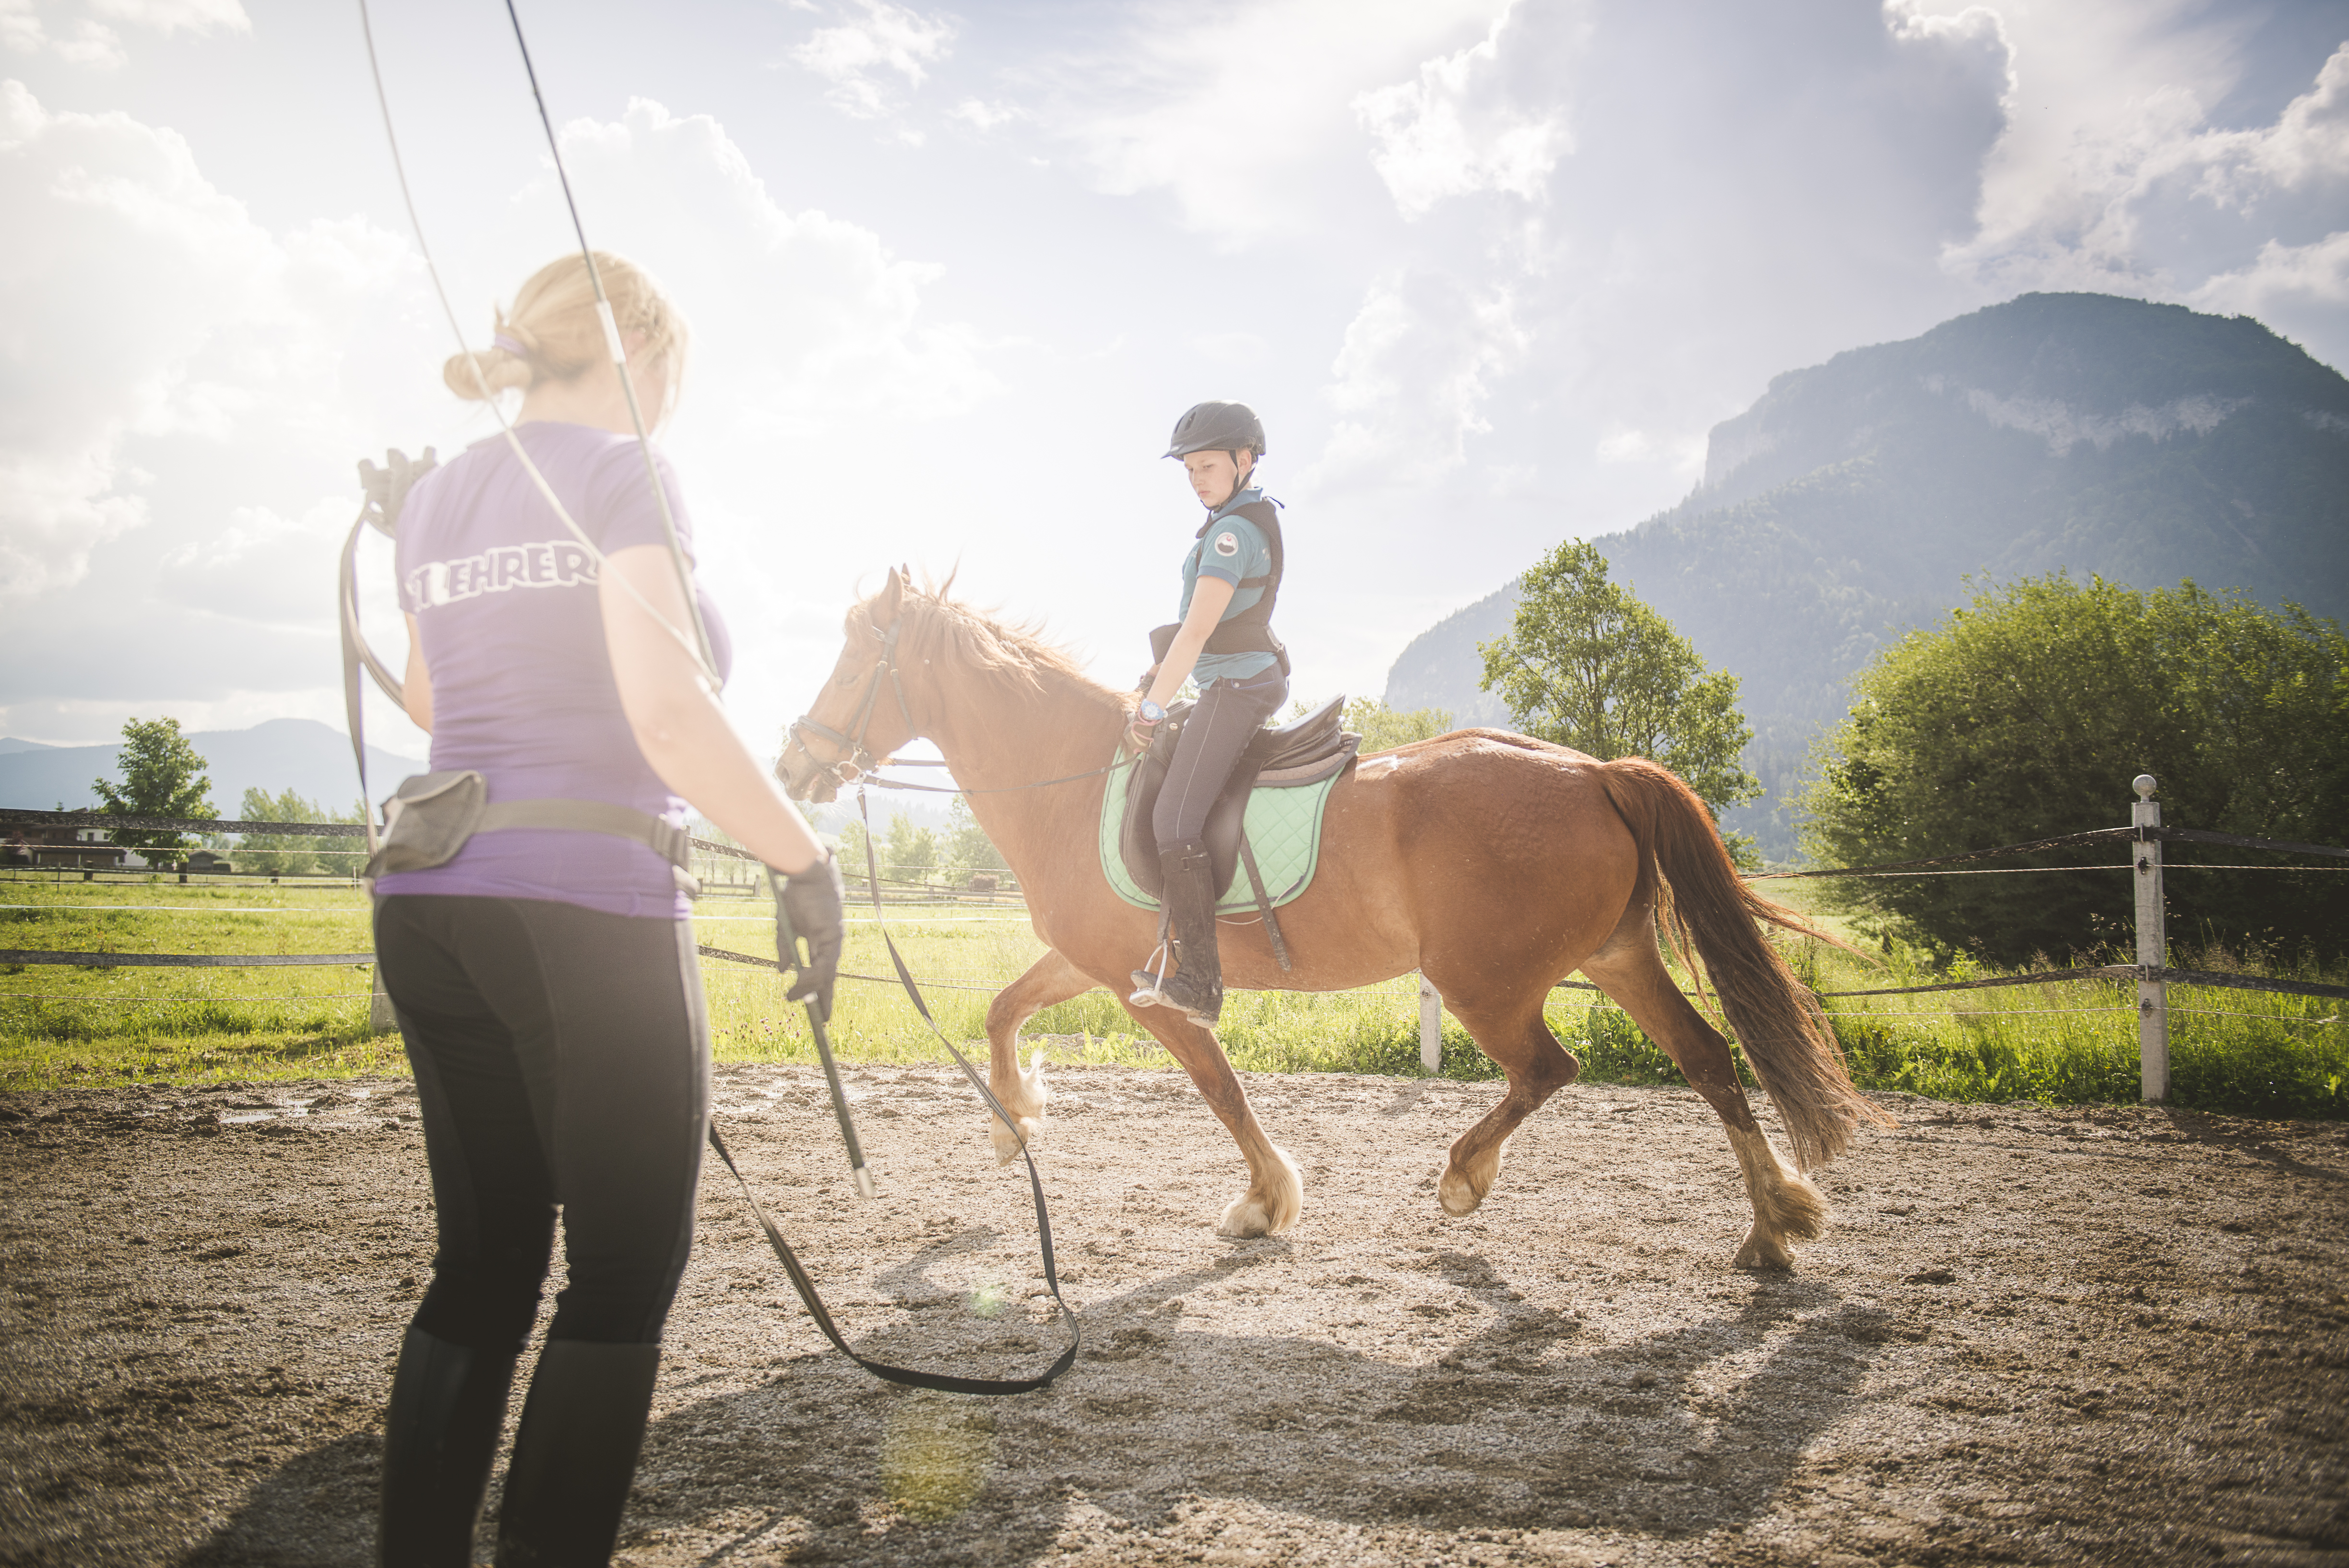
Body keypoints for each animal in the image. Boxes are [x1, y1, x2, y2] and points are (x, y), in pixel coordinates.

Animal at [780, 576, 1898, 1279]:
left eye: (854, 659)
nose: (794, 765)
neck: (1073, 775)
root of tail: (1590, 770)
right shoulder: (1095, 961)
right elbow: (1006, 1009)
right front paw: (1015, 1121)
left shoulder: (1154, 989)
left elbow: (1220, 1087)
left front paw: (1266, 1199)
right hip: (1619, 957)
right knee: (1709, 1059)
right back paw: (1774, 1224)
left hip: (1490, 982)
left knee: (1551, 1067)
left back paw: (1465, 1176)